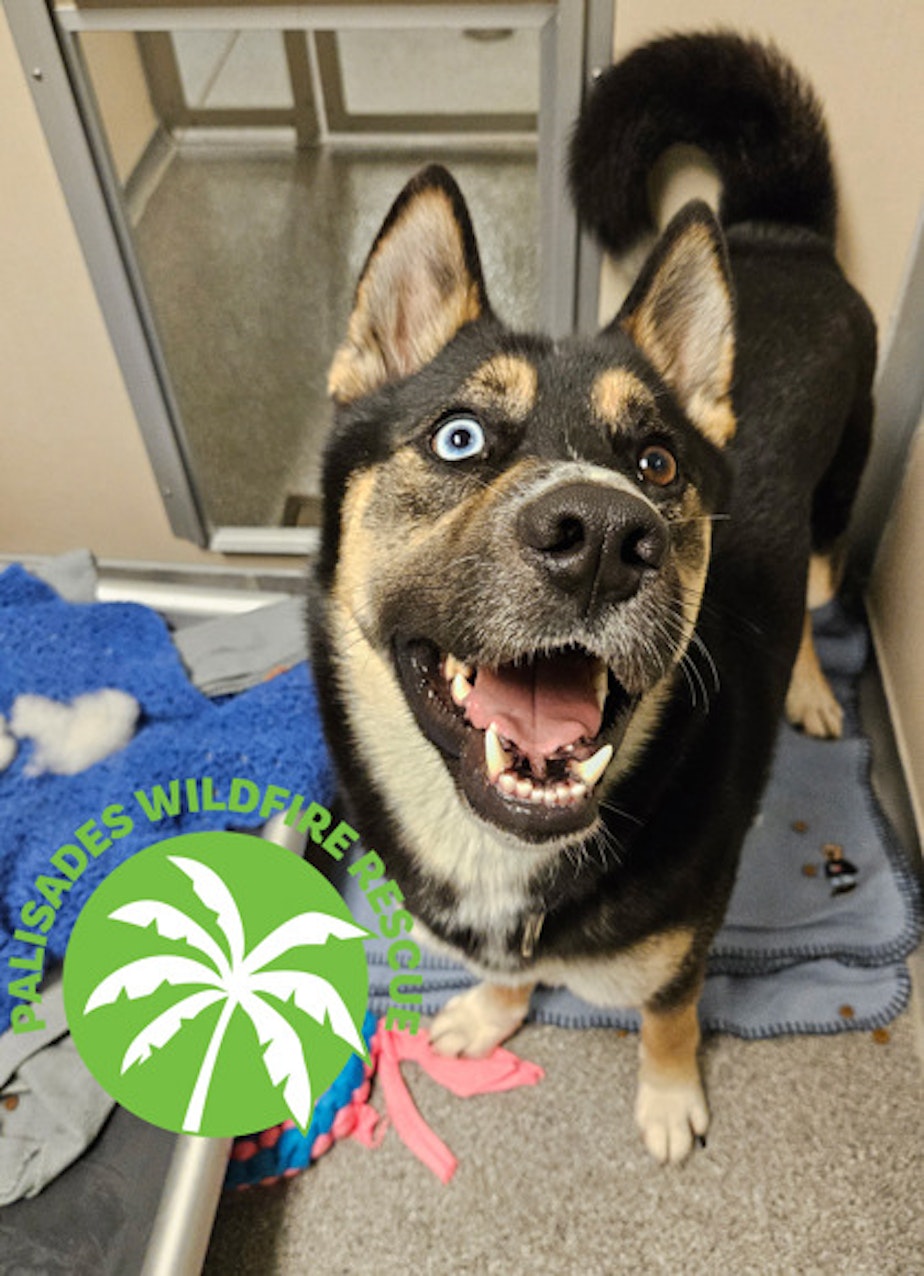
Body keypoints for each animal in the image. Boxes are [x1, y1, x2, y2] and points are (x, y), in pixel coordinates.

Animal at [308, 32, 872, 1168]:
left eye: (656, 463)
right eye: (459, 438)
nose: (606, 541)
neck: (503, 843)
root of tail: (780, 231)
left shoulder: (692, 927)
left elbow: (668, 1007)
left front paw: (668, 1099)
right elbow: (512, 971)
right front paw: (493, 1009)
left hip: (846, 481)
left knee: (824, 581)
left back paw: (812, 689)